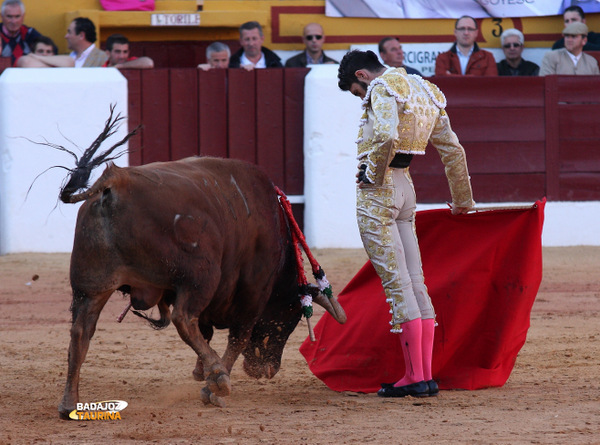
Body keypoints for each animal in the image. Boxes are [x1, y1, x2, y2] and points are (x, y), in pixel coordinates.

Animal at [57, 109, 346, 418]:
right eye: (291, 316)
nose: (268, 370)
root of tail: (115, 182)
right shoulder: (253, 293)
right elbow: (237, 337)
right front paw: (213, 386)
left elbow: (207, 333)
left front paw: (202, 372)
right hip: (201, 275)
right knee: (183, 318)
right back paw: (219, 376)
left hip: (91, 286)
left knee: (80, 333)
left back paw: (69, 403)